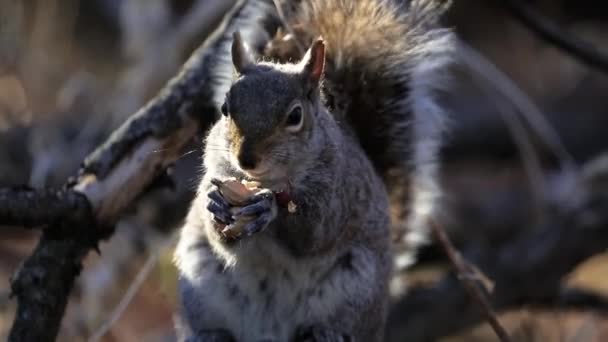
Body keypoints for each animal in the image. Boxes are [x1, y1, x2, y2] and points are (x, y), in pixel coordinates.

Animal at [173, 0, 454, 340]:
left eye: (295, 116)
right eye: (226, 109)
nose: (246, 160)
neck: (270, 180)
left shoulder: (338, 194)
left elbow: (314, 235)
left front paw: (269, 208)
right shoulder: (215, 175)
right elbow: (222, 239)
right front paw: (217, 206)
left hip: (356, 287)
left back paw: (327, 333)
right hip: (201, 284)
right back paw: (211, 334)